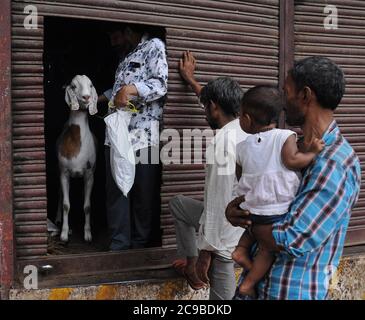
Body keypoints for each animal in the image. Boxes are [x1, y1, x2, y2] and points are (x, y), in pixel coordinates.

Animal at [55, 74, 97, 242]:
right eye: (73, 86)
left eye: (91, 85)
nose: (86, 97)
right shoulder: (64, 173)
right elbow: (66, 205)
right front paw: (64, 234)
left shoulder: (90, 174)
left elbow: (88, 206)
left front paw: (88, 234)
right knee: (60, 195)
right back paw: (58, 219)